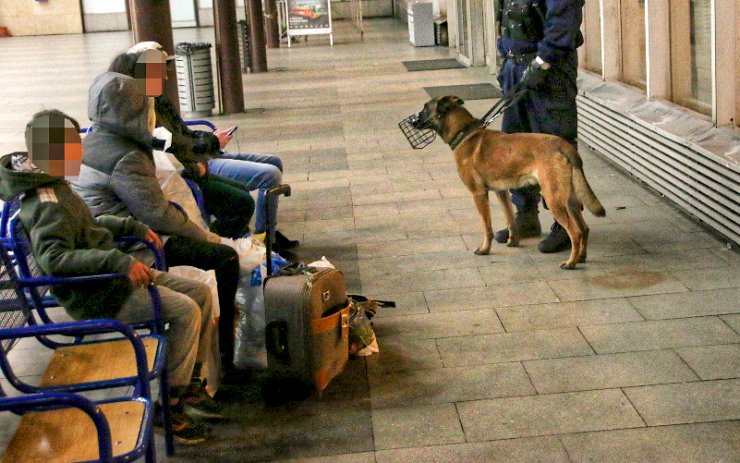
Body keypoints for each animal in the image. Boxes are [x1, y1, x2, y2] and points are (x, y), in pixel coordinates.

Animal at [414, 96, 604, 270]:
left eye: (425, 108)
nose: (413, 120)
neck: (465, 133)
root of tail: (563, 145)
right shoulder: (502, 192)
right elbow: (510, 218)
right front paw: (513, 241)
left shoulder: (479, 194)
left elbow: (487, 226)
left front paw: (485, 249)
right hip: (570, 199)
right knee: (584, 228)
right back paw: (581, 257)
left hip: (553, 198)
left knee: (576, 232)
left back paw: (570, 262)